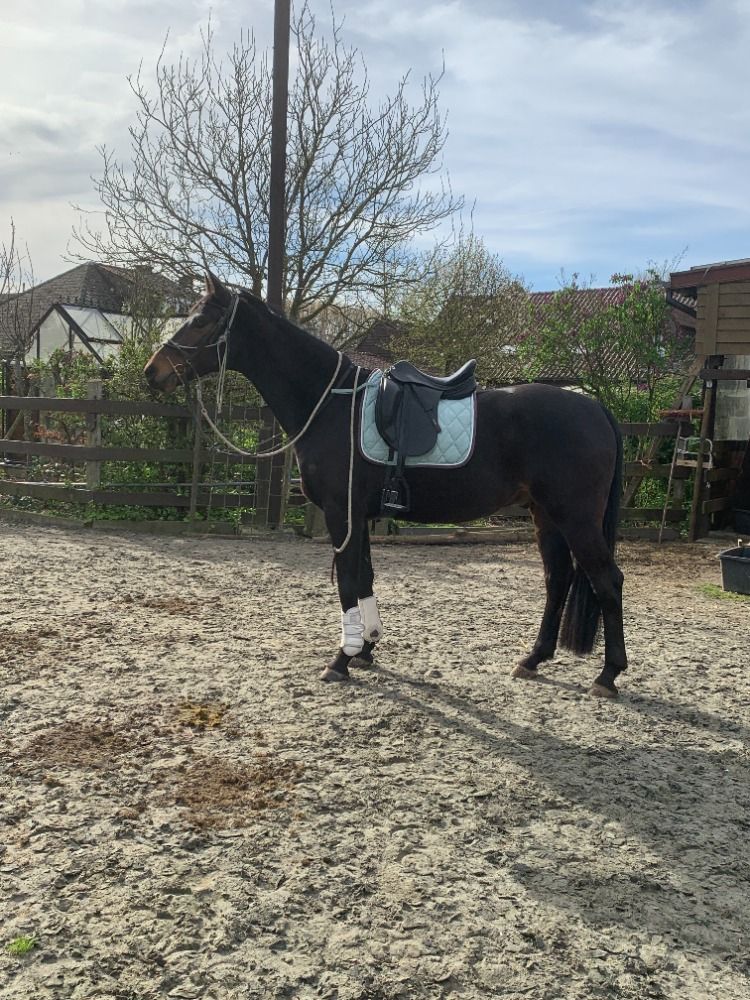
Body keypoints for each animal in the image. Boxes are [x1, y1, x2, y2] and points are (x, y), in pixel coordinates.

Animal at [145, 273, 627, 698]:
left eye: (201, 321)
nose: (153, 372)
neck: (330, 403)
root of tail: (595, 408)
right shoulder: (360, 516)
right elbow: (365, 578)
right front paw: (366, 650)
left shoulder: (342, 514)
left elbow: (348, 581)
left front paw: (342, 659)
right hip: (545, 516)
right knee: (557, 579)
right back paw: (533, 659)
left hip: (575, 518)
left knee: (608, 581)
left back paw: (607, 676)